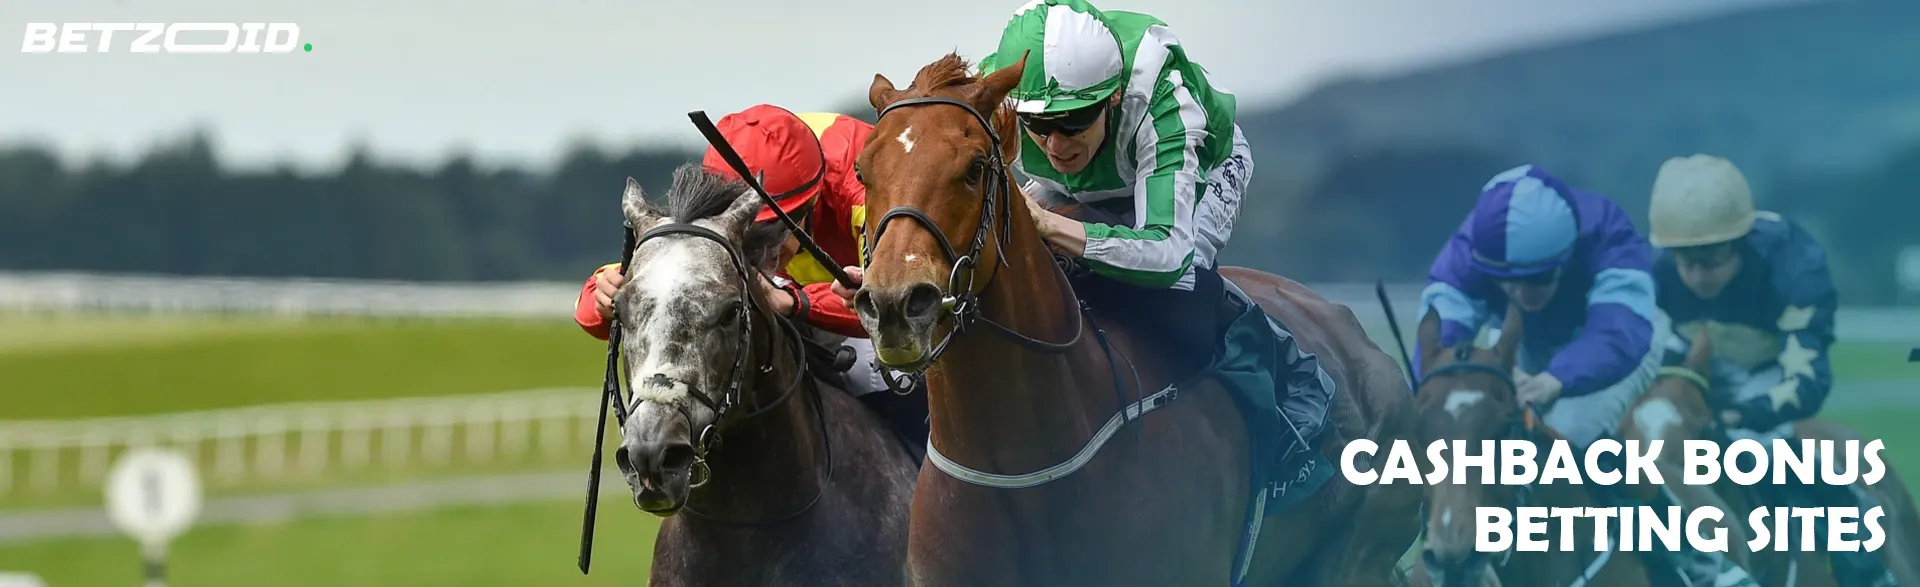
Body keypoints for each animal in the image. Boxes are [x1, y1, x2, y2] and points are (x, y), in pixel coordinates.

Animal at [847, 51, 1424, 586]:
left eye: (973, 169)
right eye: (863, 171)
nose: (896, 304)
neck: (1019, 468)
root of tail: (1363, 343)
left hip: (1357, 557)